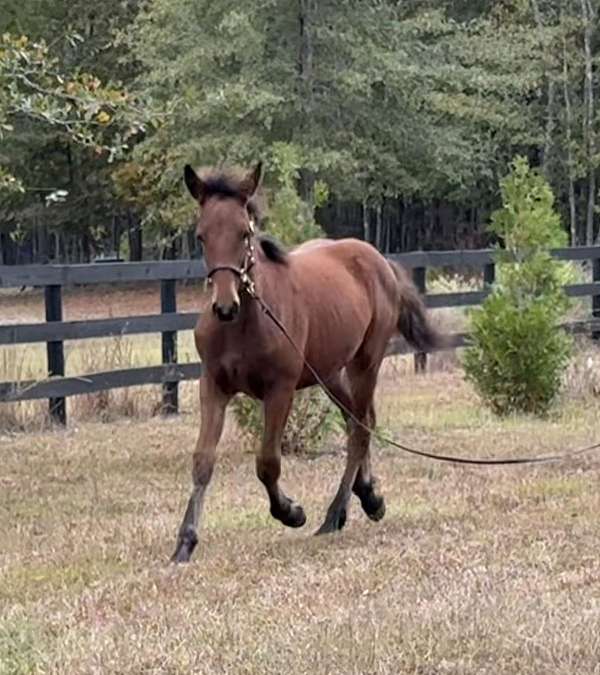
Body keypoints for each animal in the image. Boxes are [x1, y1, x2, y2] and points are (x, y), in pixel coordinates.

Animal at [172, 161, 440, 563]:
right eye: (201, 236)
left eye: (244, 233)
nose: (224, 307)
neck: (247, 320)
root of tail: (378, 259)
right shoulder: (213, 385)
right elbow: (203, 460)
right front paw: (185, 542)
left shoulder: (280, 390)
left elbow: (267, 463)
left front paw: (291, 512)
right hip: (329, 373)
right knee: (357, 419)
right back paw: (369, 495)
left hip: (365, 362)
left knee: (360, 428)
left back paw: (336, 513)